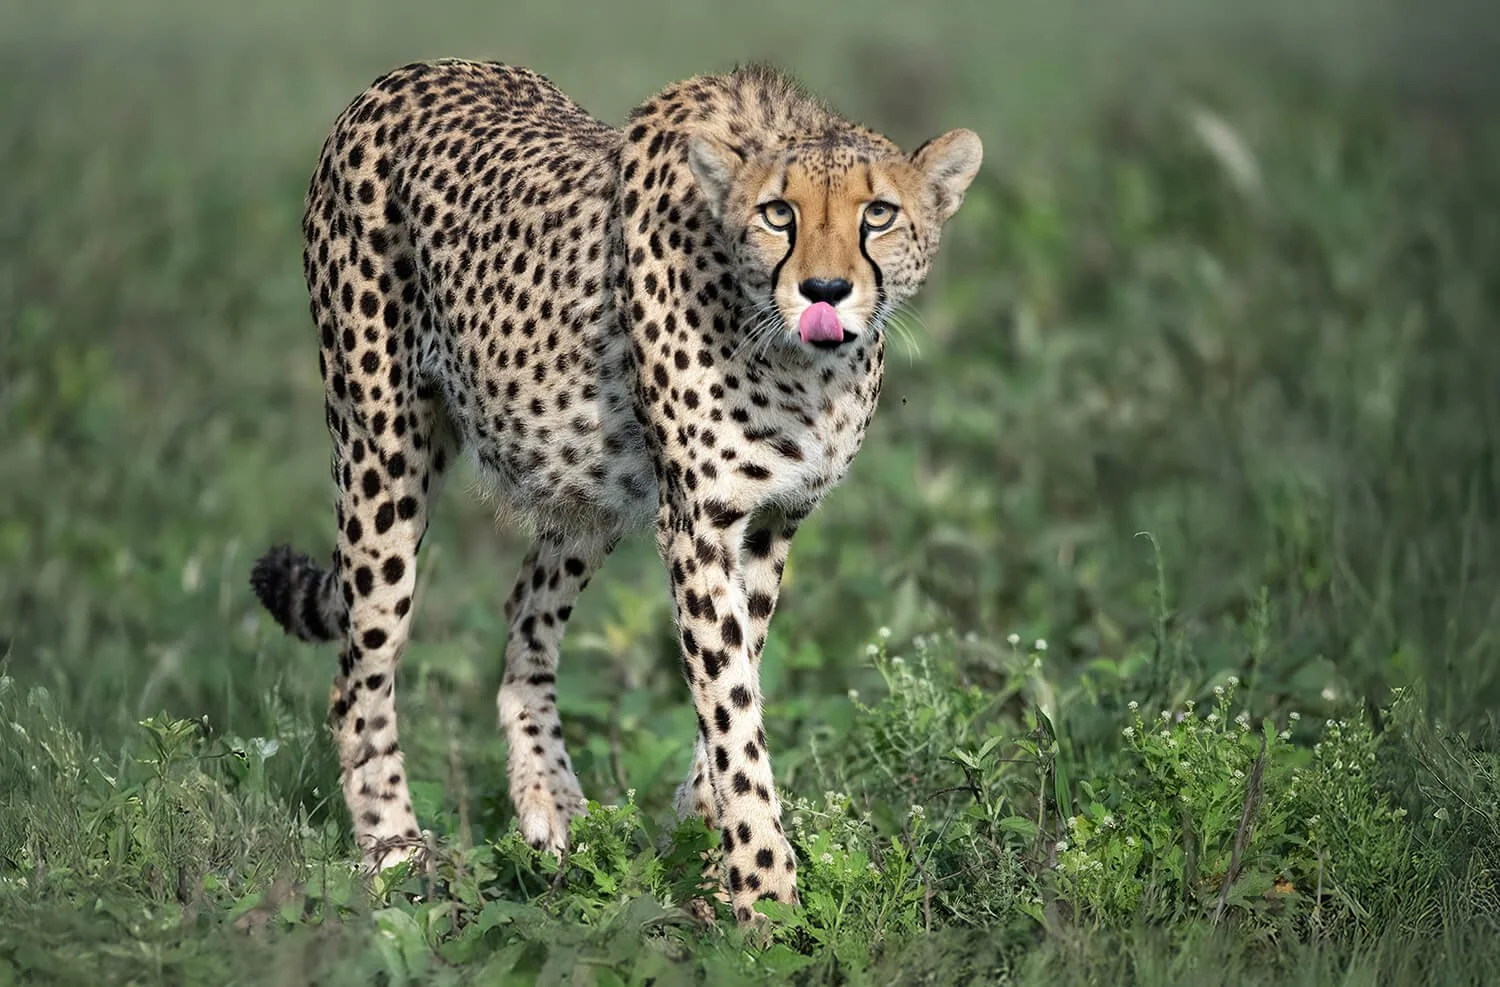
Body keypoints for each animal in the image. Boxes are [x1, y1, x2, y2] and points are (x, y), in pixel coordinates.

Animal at [249, 57, 981, 925]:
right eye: (778, 214)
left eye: (879, 214)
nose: (825, 290)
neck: (806, 366)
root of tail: (405, 74)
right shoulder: (699, 523)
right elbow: (732, 705)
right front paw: (766, 894)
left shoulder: (772, 521)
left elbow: (735, 685)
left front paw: (709, 852)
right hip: (380, 454)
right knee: (360, 674)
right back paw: (395, 851)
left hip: (583, 489)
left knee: (524, 617)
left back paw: (549, 799)